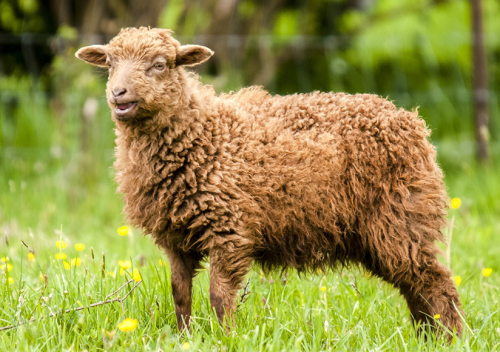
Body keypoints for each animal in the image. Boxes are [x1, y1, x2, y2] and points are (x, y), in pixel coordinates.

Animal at [76, 27, 462, 338]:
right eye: (109, 62)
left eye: (160, 64)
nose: (118, 93)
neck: (204, 132)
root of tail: (410, 120)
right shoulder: (176, 237)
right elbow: (180, 293)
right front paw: (184, 337)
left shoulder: (229, 229)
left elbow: (219, 295)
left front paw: (226, 338)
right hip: (382, 231)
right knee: (416, 286)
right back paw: (426, 337)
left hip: (401, 217)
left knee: (435, 281)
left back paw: (450, 338)